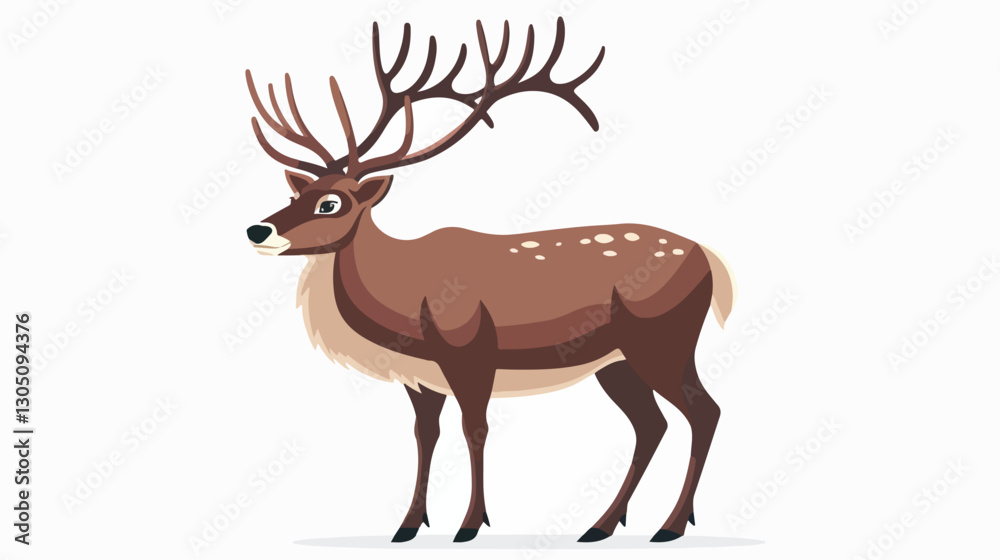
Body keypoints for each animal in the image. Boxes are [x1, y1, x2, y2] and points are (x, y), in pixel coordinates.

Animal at [244, 17, 736, 544]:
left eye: (330, 204)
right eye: (295, 195)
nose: (258, 230)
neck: (402, 301)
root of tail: (711, 259)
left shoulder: (470, 351)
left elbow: (474, 429)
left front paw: (469, 525)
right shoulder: (422, 377)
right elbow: (425, 435)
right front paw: (407, 526)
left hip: (663, 340)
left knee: (705, 412)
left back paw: (670, 526)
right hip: (616, 360)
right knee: (651, 425)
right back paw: (601, 526)